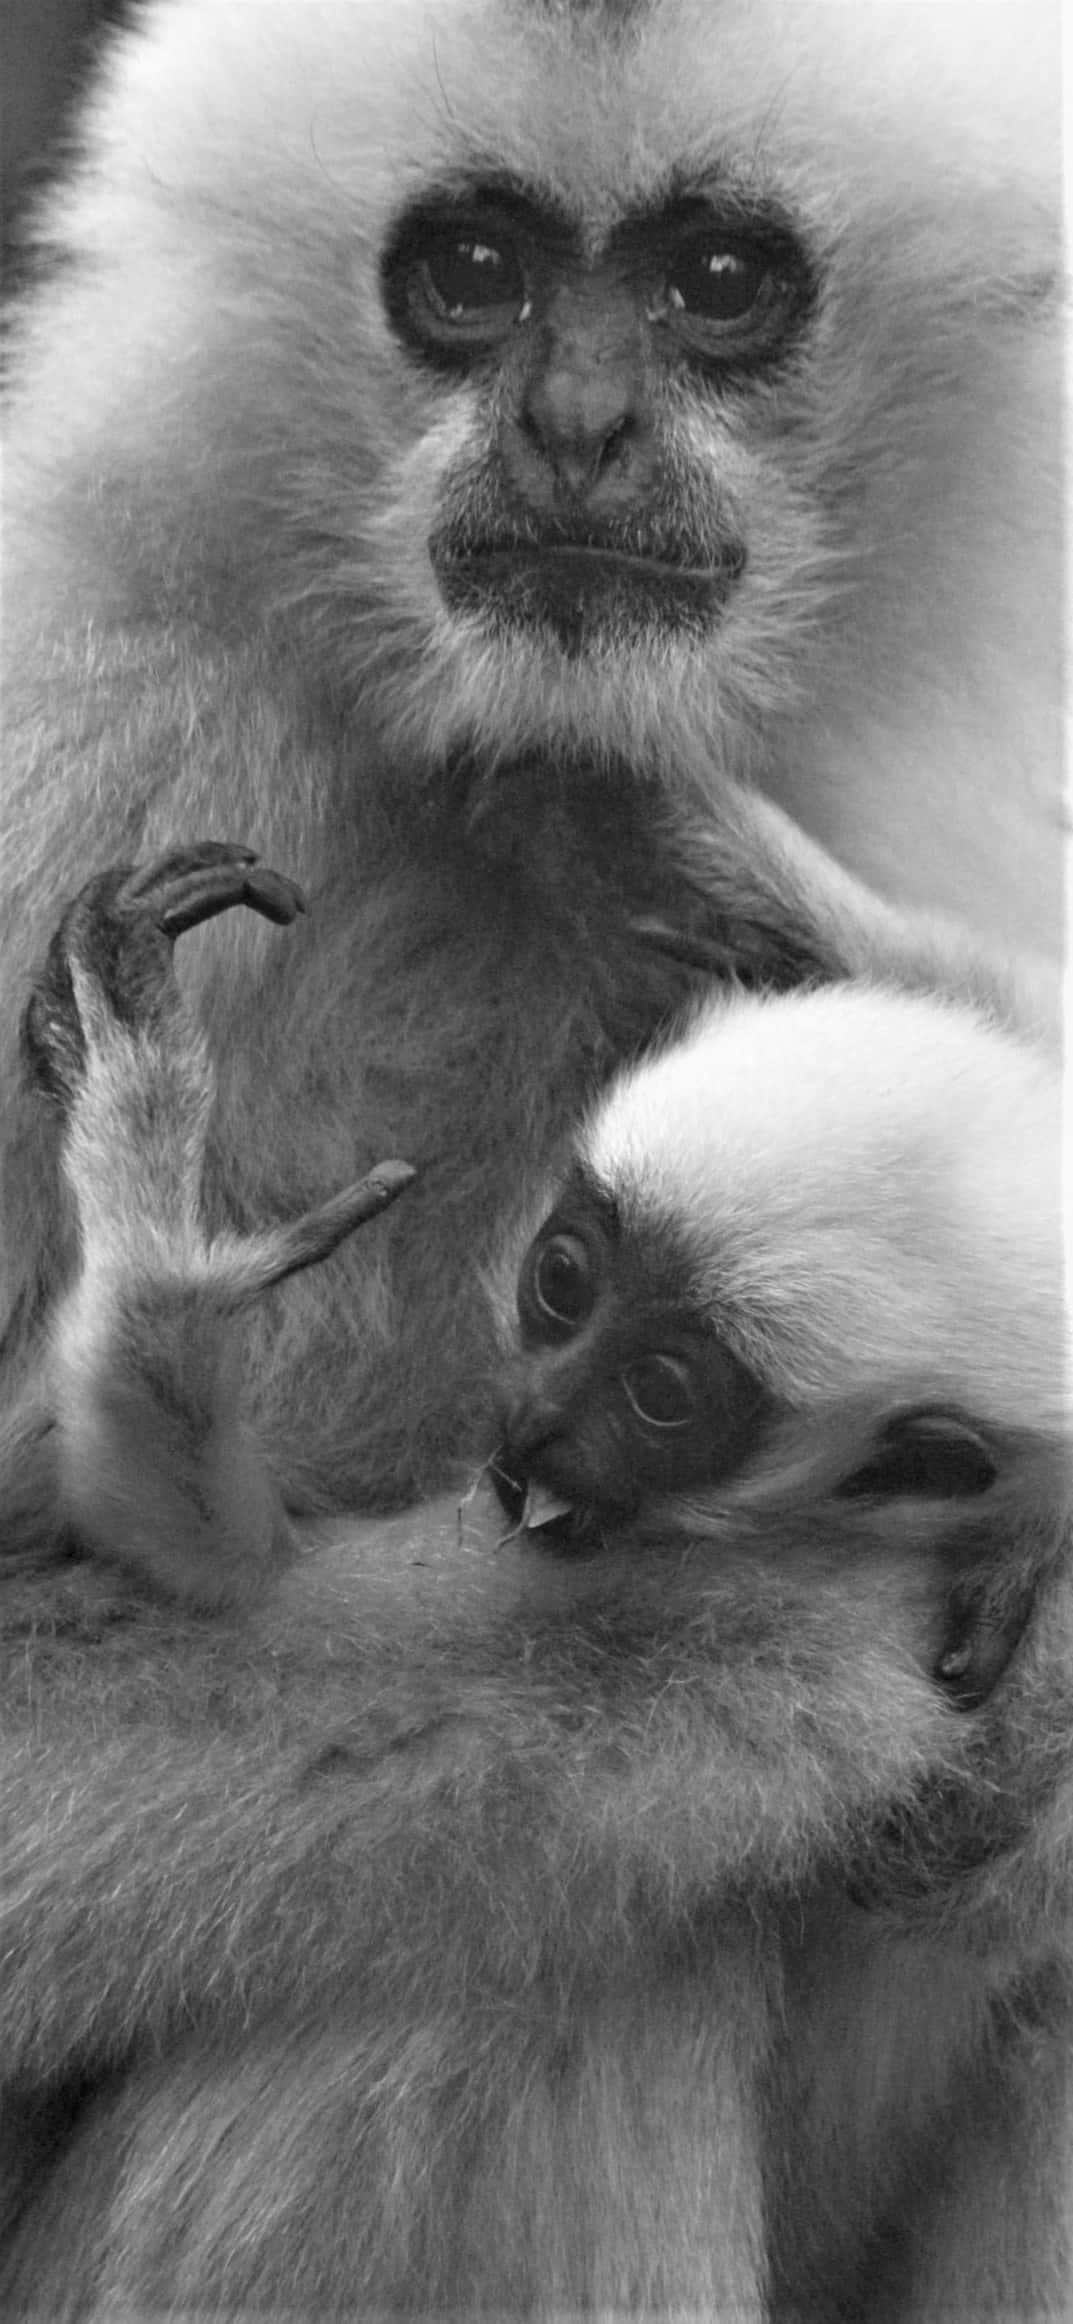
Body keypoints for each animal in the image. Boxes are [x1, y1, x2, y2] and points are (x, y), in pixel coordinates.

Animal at [0, 0, 1066, 2313]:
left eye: (717, 284)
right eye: (468, 277)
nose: (575, 431)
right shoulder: (70, 729)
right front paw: (883, 1651)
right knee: (517, 1944)